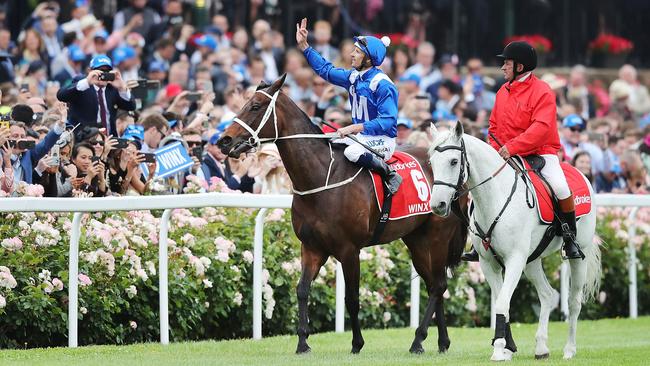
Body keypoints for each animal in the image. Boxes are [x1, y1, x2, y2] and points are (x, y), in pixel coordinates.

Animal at [426, 123, 596, 360]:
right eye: (431, 162)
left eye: (453, 161)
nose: (438, 205)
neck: (495, 197)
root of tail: (582, 174)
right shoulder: (489, 263)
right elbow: (501, 301)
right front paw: (506, 347)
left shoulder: (515, 259)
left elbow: (502, 301)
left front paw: (499, 349)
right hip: (532, 261)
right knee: (547, 295)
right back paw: (541, 347)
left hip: (578, 257)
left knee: (573, 302)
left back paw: (569, 349)